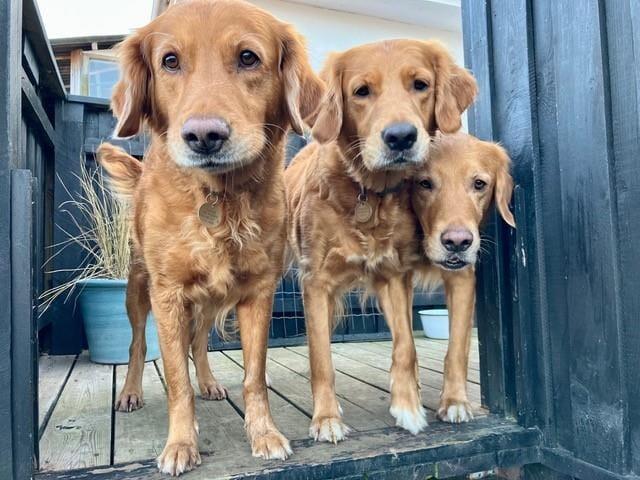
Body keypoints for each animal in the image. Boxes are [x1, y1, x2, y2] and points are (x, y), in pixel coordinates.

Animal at [100, 0, 323, 475]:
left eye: (248, 58)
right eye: (169, 61)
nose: (204, 136)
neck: (219, 199)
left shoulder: (258, 292)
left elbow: (254, 376)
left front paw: (264, 434)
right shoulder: (167, 295)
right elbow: (175, 379)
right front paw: (181, 444)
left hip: (206, 301)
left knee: (199, 342)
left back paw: (209, 382)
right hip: (137, 290)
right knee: (136, 345)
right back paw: (130, 392)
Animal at [285, 39, 477, 442]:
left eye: (420, 85)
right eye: (361, 91)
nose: (401, 136)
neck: (367, 193)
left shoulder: (393, 275)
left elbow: (406, 345)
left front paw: (407, 406)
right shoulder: (315, 282)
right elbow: (321, 359)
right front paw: (326, 419)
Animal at [411, 132, 515, 423]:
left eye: (479, 184)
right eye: (424, 183)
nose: (457, 242)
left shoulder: (462, 280)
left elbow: (456, 348)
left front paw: (455, 400)